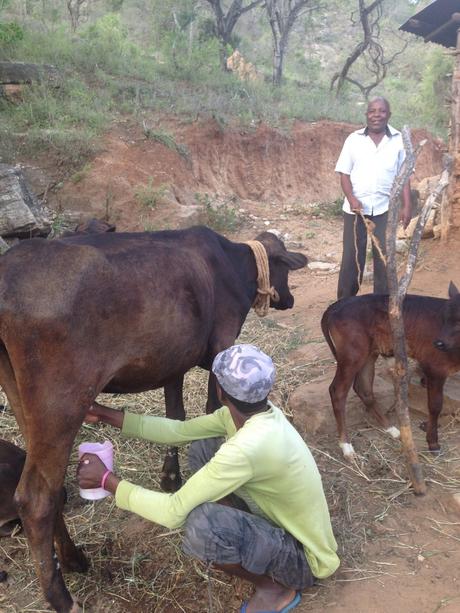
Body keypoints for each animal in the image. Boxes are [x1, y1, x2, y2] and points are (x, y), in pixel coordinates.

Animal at [0, 226, 308, 612]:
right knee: (36, 497)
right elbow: (212, 410)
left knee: (47, 487)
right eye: (285, 266)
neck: (232, 264)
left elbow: (175, 417)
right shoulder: (221, 345)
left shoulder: (173, 360)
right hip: (59, 401)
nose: (290, 299)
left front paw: (171, 476)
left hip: (21, 395)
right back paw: (62, 597)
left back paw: (74, 560)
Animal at [322, 282, 460, 460]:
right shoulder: (435, 368)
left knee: (363, 388)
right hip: (352, 355)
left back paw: (392, 430)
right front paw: (433, 443)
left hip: (369, 353)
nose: (439, 343)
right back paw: (346, 446)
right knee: (337, 391)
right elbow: (435, 406)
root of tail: (336, 305)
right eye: (445, 318)